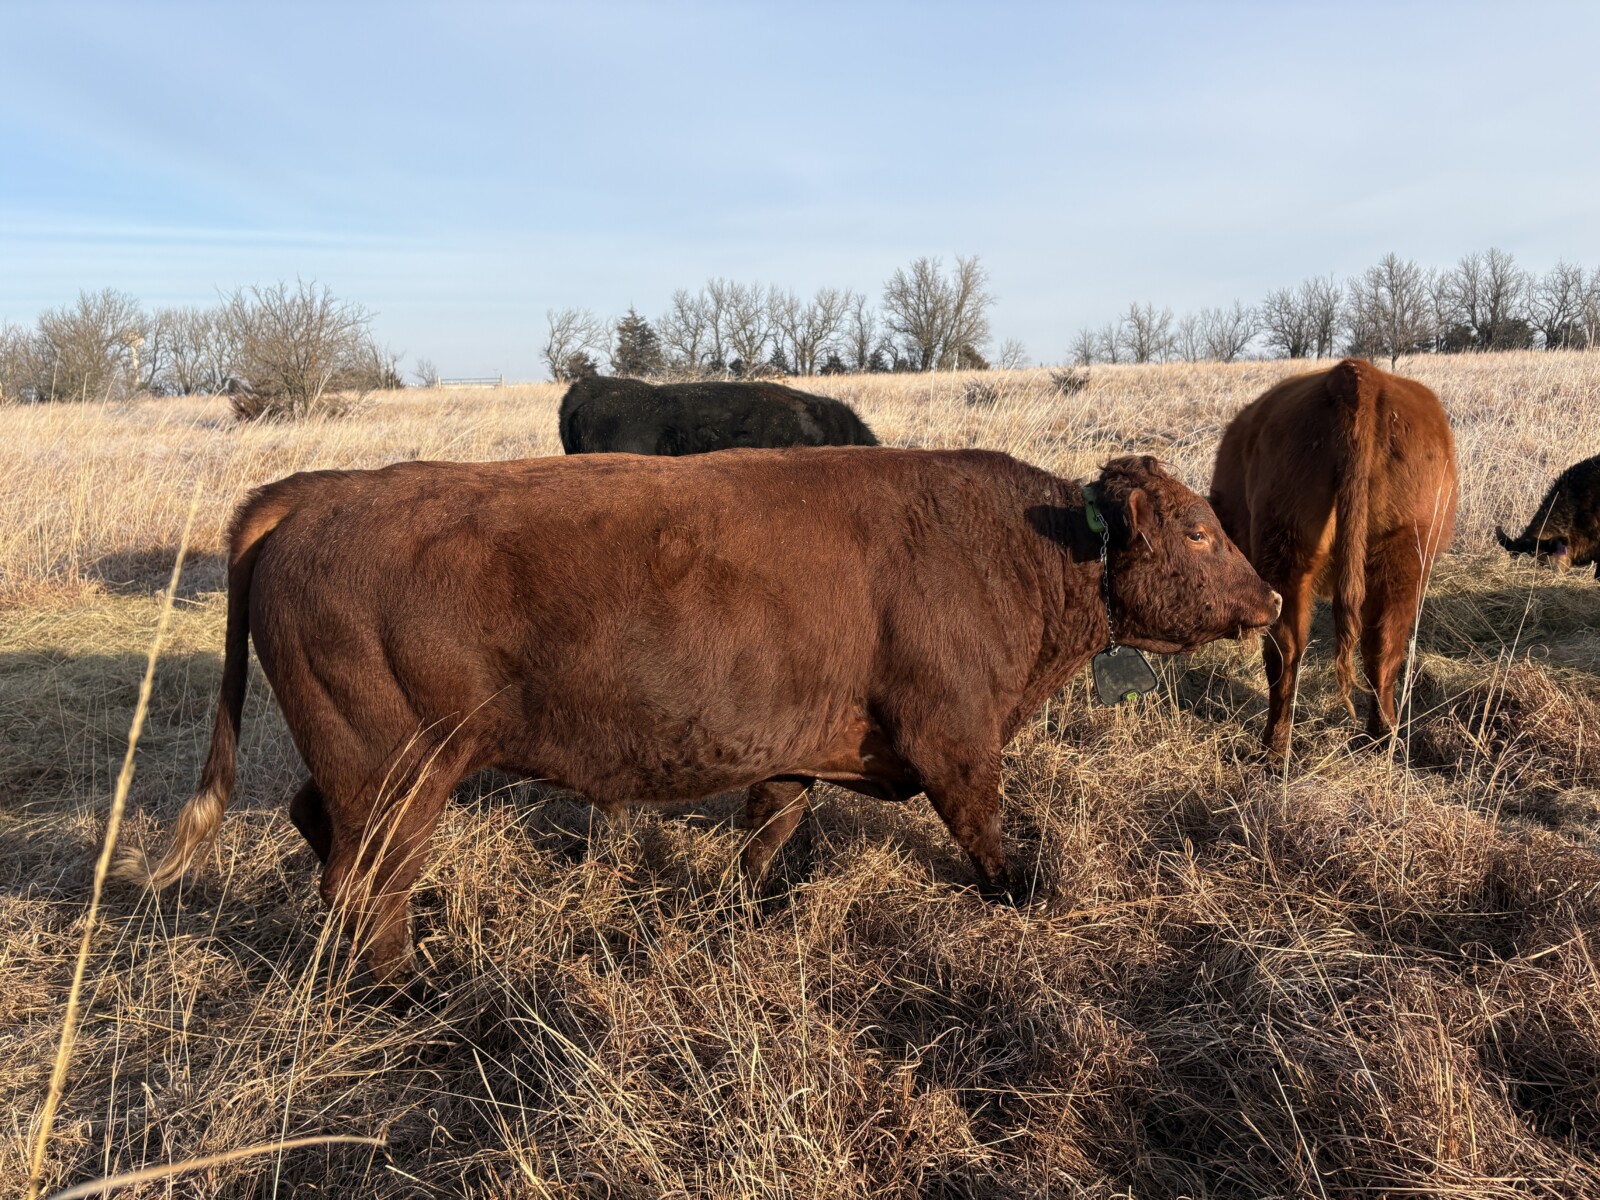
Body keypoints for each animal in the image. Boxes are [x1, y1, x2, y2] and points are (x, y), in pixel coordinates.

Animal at [118, 448, 1280, 983]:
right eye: (1196, 529)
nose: (1269, 599)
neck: (1025, 548)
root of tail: (315, 492)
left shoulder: (798, 752)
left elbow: (766, 838)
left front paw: (747, 914)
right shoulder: (957, 741)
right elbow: (988, 835)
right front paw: (1027, 899)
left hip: (366, 769)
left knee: (321, 835)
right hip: (403, 772)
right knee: (368, 884)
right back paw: (406, 996)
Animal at [1209, 358, 1458, 758]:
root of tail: (1355, 372)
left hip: (1292, 556)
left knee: (1289, 654)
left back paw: (1276, 748)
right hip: (1399, 556)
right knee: (1378, 649)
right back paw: (1377, 740)